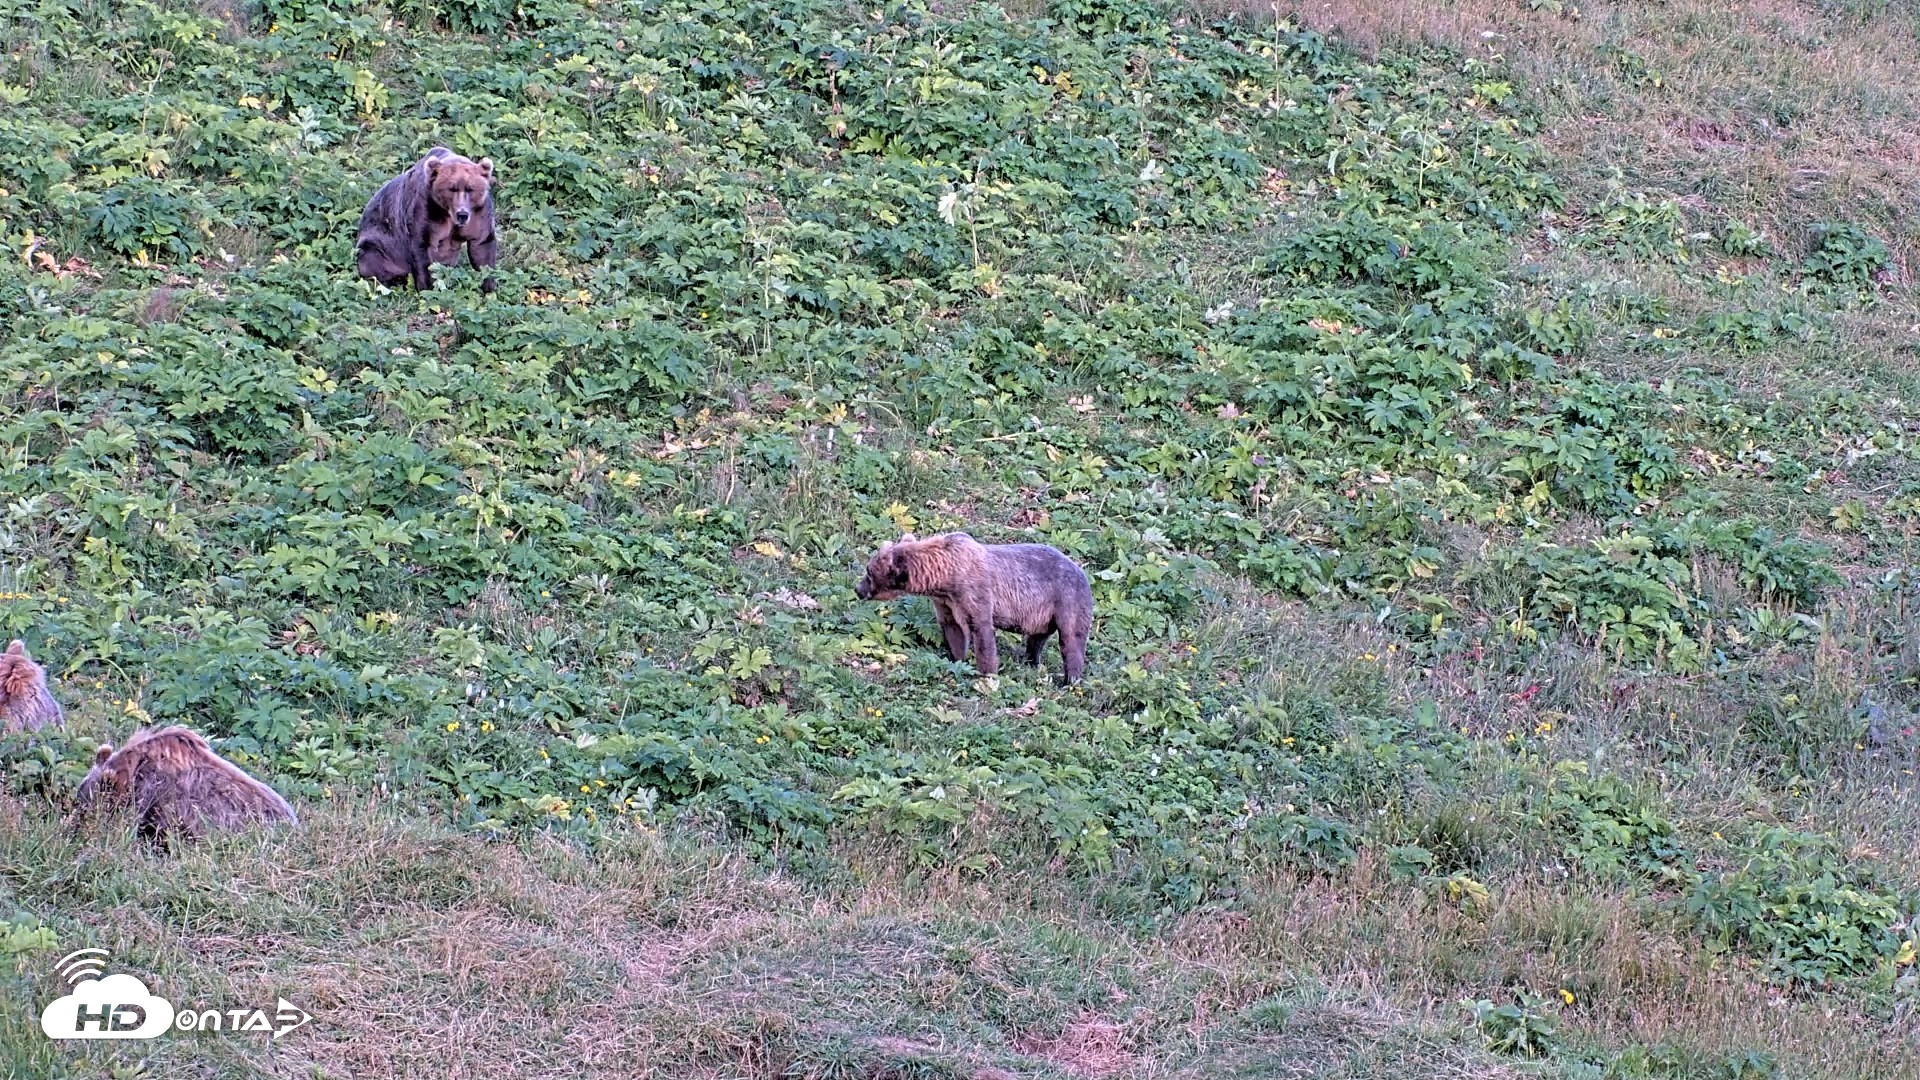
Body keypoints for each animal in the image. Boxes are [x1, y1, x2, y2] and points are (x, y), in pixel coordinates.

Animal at [354, 146, 499, 294]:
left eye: (471, 189)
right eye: (451, 188)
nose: (462, 214)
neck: (447, 212)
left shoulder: (478, 213)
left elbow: (482, 247)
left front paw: (489, 288)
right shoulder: (425, 209)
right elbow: (423, 252)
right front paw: (427, 289)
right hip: (380, 245)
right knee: (371, 261)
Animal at [854, 532, 1094, 685]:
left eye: (868, 571)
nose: (858, 589)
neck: (945, 576)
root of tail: (1083, 571)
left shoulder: (974, 592)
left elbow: (981, 631)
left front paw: (987, 674)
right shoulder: (946, 602)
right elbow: (953, 630)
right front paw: (957, 659)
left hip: (1066, 598)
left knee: (1071, 639)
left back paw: (1070, 680)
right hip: (1041, 615)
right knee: (1036, 640)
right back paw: (1030, 662)